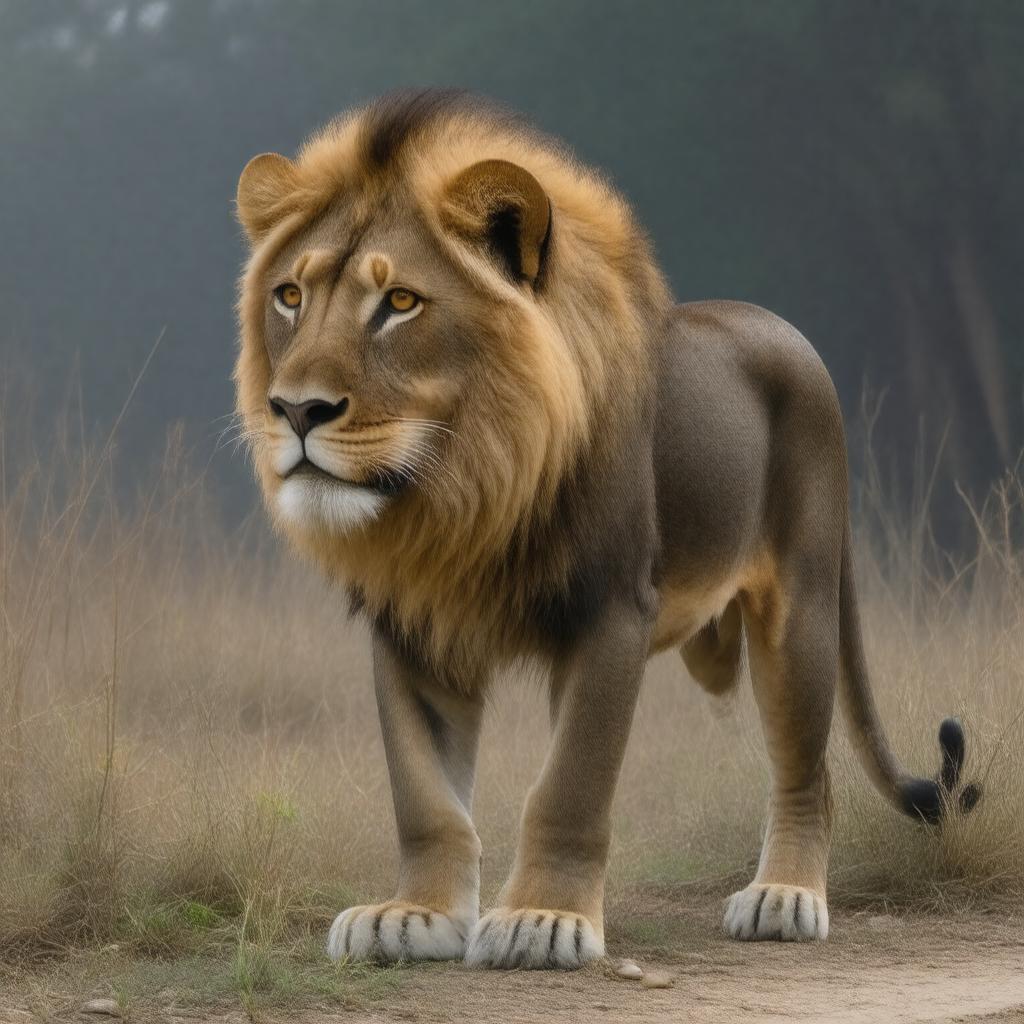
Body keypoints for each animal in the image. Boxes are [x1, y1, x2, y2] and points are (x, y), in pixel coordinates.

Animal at [234, 89, 979, 968]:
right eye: (290, 296)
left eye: (401, 303)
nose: (295, 410)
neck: (461, 487)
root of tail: (783, 331)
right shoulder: (409, 622)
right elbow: (425, 795)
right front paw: (414, 916)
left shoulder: (613, 608)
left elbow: (570, 783)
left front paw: (544, 920)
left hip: (800, 605)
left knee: (808, 769)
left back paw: (785, 898)